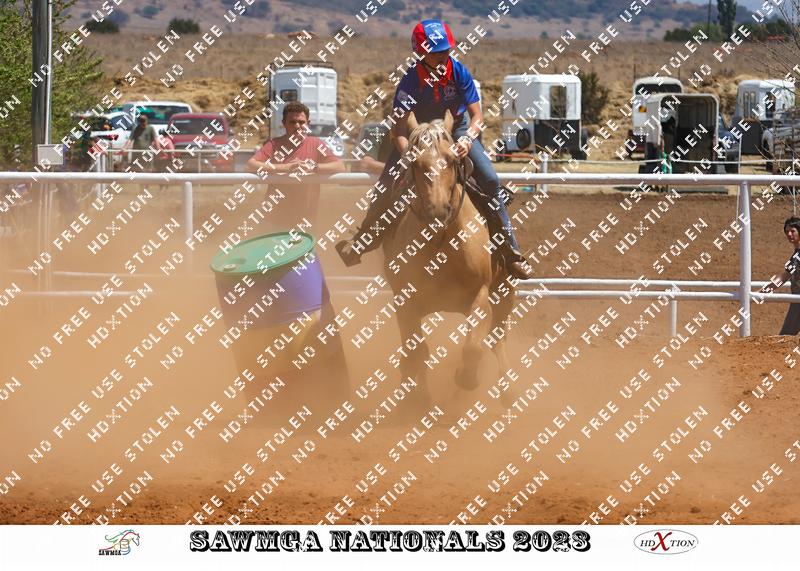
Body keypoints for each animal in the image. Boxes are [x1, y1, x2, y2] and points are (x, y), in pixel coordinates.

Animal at [381, 109, 516, 404]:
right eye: (415, 162)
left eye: (453, 159)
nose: (438, 211)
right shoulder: (405, 303)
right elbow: (416, 353)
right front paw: (416, 401)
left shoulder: (481, 295)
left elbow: (473, 348)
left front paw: (465, 379)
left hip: (505, 291)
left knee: (498, 339)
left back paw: (507, 392)